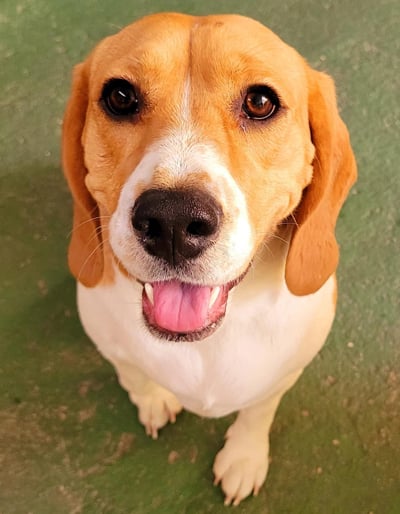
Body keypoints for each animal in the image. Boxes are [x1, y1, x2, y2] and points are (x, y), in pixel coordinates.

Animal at [62, 12, 356, 506]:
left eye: (260, 102)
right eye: (119, 96)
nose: (172, 220)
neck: (204, 345)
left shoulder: (283, 374)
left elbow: (258, 411)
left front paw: (244, 456)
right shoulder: (110, 344)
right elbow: (133, 376)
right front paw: (153, 399)